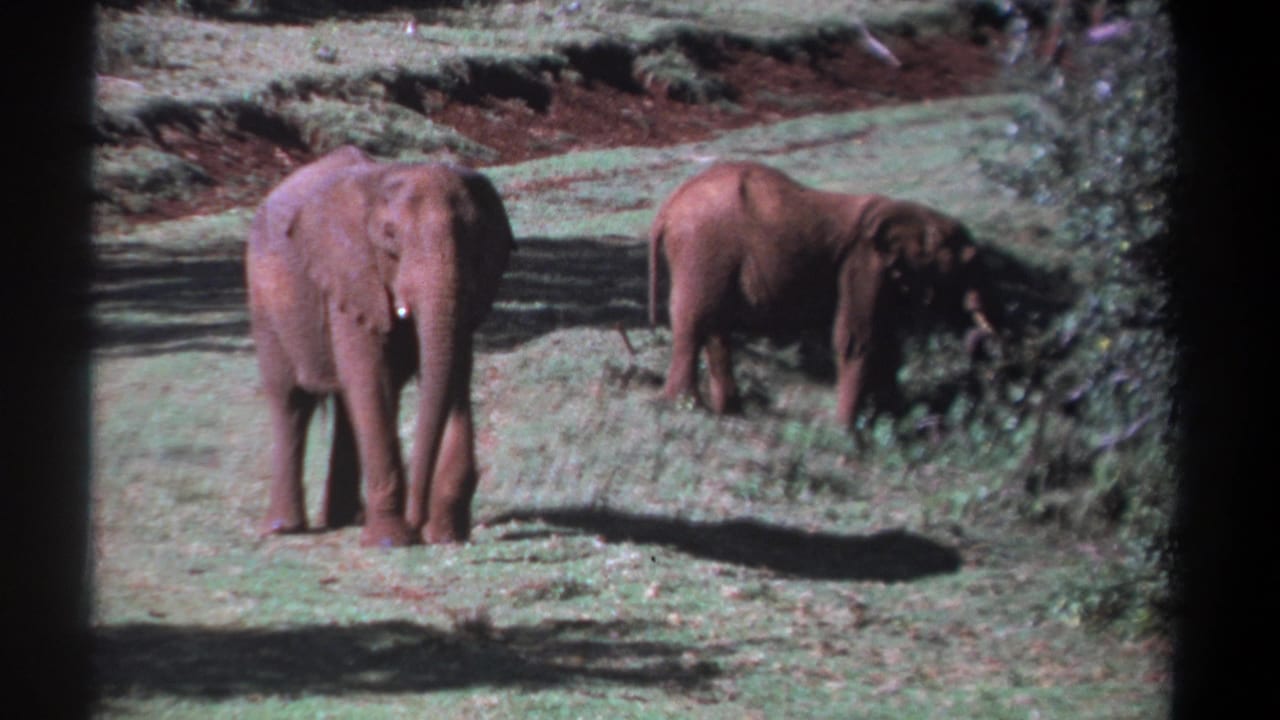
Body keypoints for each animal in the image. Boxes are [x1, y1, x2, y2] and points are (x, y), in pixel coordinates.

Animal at [245, 145, 515, 546]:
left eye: (474, 234)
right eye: (389, 235)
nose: (418, 521)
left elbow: (455, 375)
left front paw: (445, 535)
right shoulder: (350, 275)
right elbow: (371, 379)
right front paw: (392, 541)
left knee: (345, 404)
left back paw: (345, 519)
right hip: (265, 303)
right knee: (291, 400)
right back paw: (284, 529)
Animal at [647, 160, 995, 429]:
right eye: (966, 259)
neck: (908, 213)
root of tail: (667, 208)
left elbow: (887, 341)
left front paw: (889, 422)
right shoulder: (863, 263)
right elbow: (858, 339)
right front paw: (848, 433)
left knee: (715, 326)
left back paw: (731, 413)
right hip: (702, 248)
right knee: (693, 322)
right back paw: (684, 407)